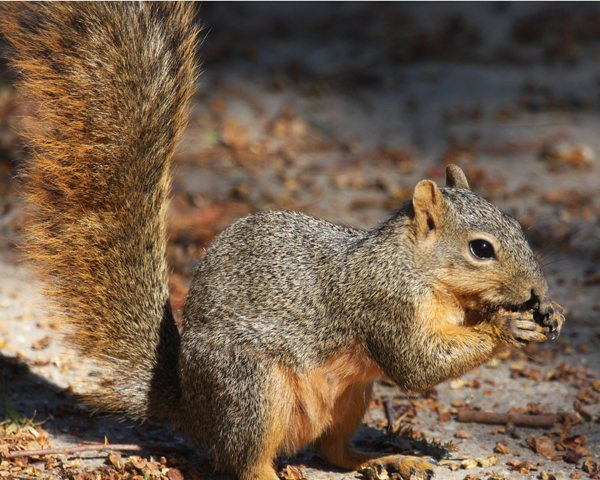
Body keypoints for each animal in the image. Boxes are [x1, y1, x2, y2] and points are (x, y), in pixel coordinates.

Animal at [2, 2, 564, 480]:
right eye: (481, 249)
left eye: (518, 226)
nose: (537, 291)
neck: (421, 271)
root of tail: (193, 407)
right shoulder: (383, 302)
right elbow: (417, 363)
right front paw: (507, 327)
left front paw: (549, 313)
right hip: (253, 387)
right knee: (246, 461)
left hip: (351, 397)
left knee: (334, 450)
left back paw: (385, 459)